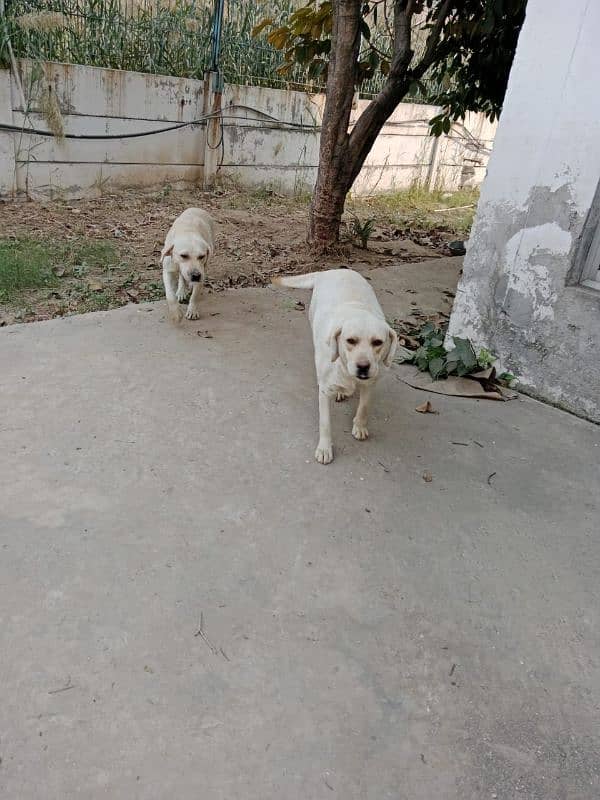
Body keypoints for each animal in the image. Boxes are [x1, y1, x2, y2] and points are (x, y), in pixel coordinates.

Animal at [274, 272, 396, 466]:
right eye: (350, 340)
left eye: (377, 342)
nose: (363, 366)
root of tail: (333, 270)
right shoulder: (325, 392)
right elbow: (325, 424)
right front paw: (325, 448)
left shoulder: (370, 383)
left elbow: (364, 407)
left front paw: (359, 425)